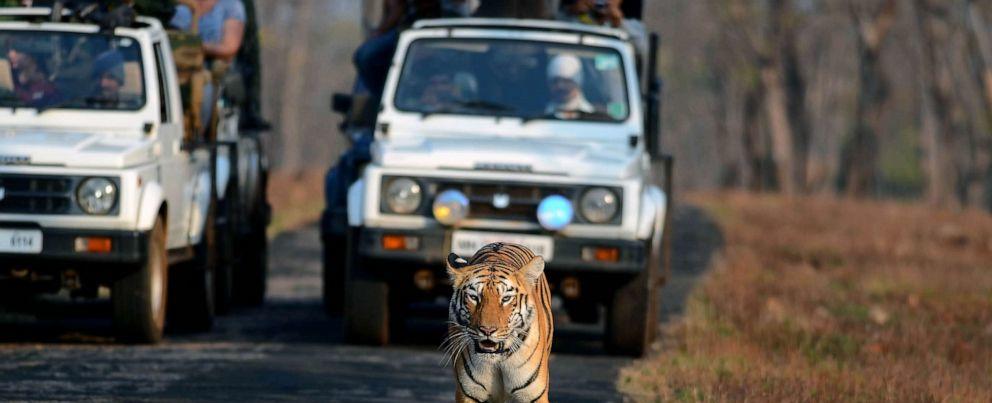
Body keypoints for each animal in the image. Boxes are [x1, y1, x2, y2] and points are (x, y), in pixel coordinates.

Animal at [443, 242, 553, 403]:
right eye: (474, 297)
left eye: (506, 298)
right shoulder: (468, 393)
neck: (498, 360)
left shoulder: (532, 395)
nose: (487, 330)